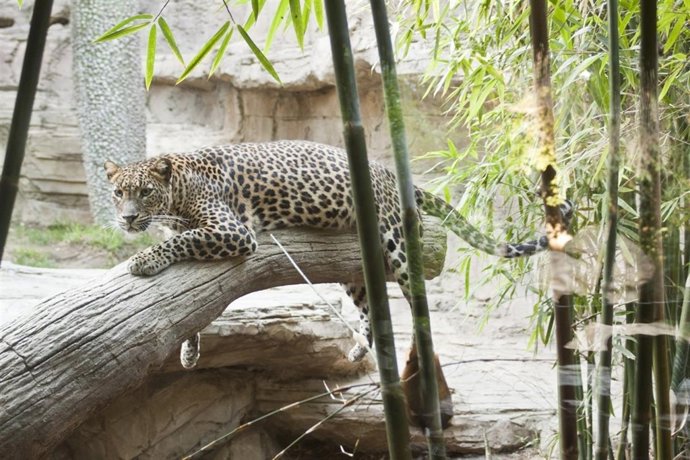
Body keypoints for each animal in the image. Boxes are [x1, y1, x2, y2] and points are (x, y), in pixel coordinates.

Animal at [105, 140, 571, 370]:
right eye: (118, 193)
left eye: (144, 192)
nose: (126, 219)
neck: (177, 191)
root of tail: (389, 172)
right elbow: (196, 310)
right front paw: (189, 351)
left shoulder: (233, 231)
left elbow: (178, 242)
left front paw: (144, 260)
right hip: (355, 267)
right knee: (370, 310)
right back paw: (361, 352)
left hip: (396, 241)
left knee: (414, 299)